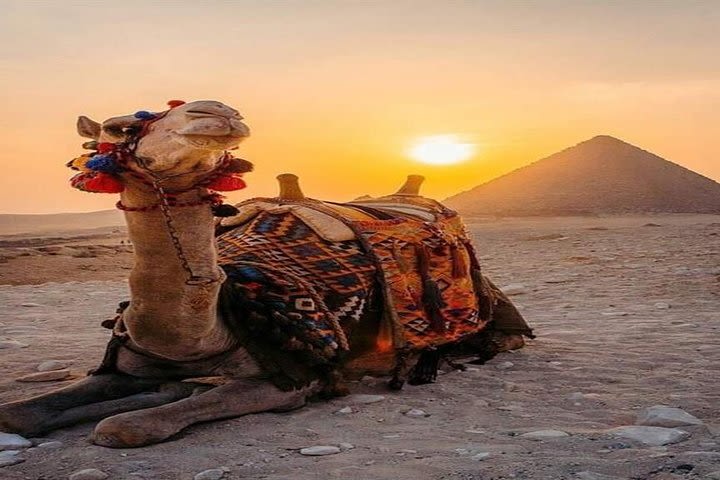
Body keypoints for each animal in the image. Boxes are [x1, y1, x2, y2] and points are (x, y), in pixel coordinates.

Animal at [0, 99, 532, 448]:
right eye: (116, 126)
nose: (214, 111)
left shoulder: (294, 378)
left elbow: (128, 426)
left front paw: (151, 404)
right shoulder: (128, 363)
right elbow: (17, 415)